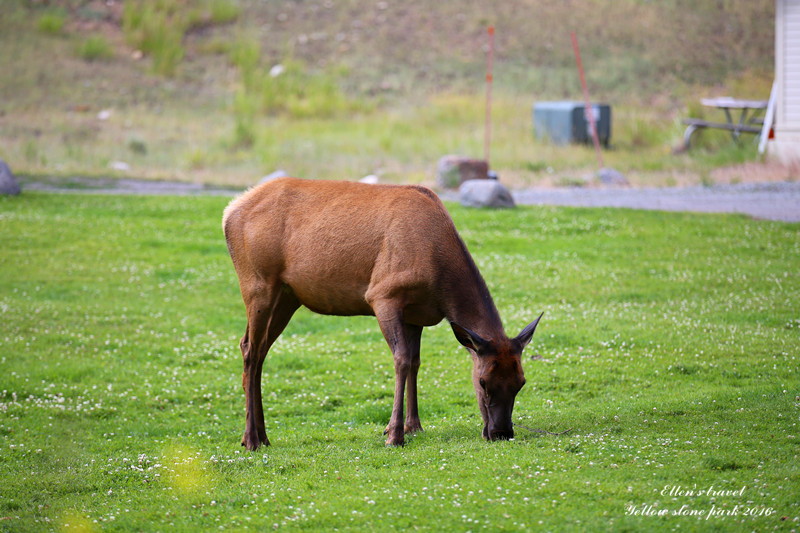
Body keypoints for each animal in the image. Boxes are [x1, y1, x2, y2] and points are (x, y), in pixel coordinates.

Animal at [222, 179, 540, 448]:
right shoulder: (383, 294)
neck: (439, 280)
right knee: (250, 348)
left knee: (257, 348)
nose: (501, 432)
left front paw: (413, 426)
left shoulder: (416, 313)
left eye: (521, 381)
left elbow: (415, 362)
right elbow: (401, 360)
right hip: (258, 283)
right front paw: (394, 434)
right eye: (483, 381)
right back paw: (251, 439)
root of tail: (228, 212)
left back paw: (260, 436)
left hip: (288, 296)